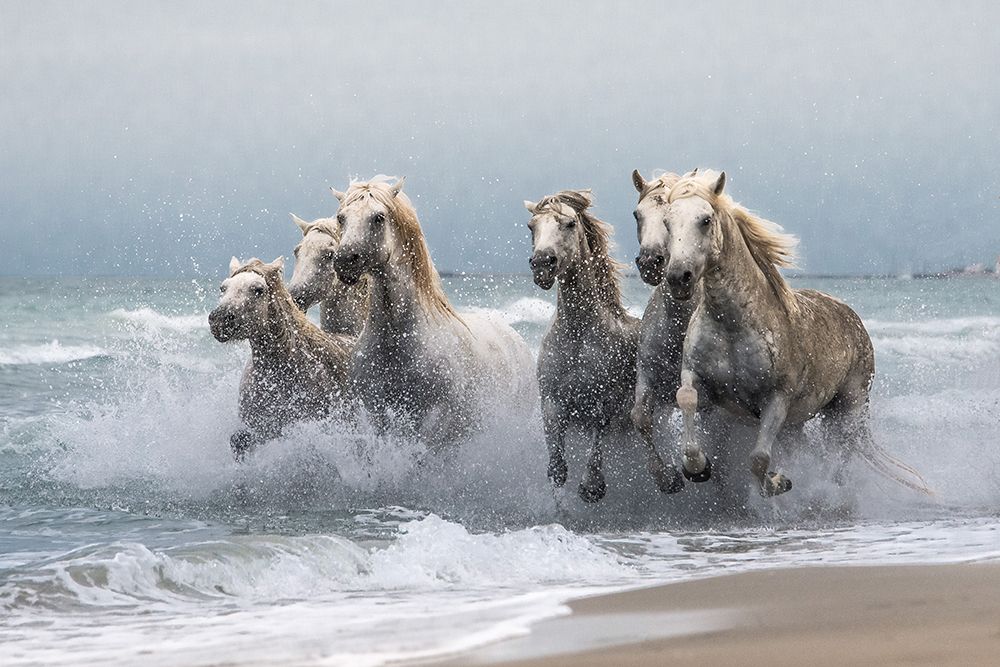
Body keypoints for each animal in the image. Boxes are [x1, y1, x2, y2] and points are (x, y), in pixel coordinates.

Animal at [331, 176, 536, 449]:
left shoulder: (435, 418)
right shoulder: (375, 415)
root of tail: (515, 338)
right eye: (341, 217)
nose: (345, 261)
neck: (397, 340)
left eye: (379, 217)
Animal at [656, 169, 930, 496]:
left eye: (705, 220)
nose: (678, 278)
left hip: (847, 409)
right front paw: (697, 467)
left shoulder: (777, 400)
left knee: (842, 453)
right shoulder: (697, 376)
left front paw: (778, 483)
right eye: (667, 222)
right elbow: (686, 398)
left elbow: (759, 459)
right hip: (799, 423)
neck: (733, 325)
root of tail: (853, 318)